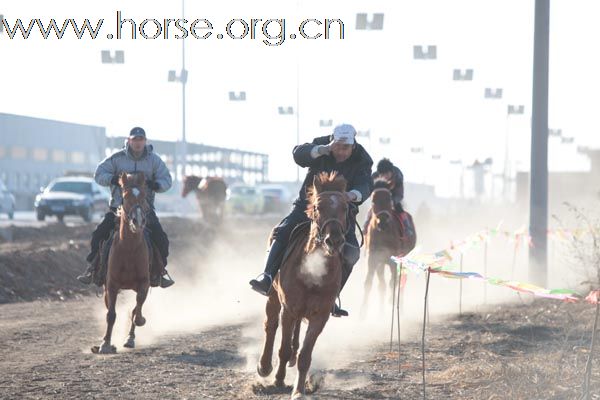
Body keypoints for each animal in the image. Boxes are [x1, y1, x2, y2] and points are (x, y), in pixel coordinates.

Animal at [91, 173, 156, 354]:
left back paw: (130, 338)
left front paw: (134, 329)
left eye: (144, 196)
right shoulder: (111, 285)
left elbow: (136, 311)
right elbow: (111, 314)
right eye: (125, 197)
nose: (138, 221)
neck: (129, 249)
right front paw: (105, 344)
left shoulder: (144, 283)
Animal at [256, 172, 350, 400]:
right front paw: (279, 379)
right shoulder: (288, 309)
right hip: (273, 297)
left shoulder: (320, 316)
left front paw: (299, 391)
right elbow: (282, 348)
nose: (334, 240)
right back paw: (265, 366)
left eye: (345, 207)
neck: (312, 273)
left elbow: (304, 356)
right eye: (317, 207)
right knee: (271, 326)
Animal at [358, 177, 410, 312]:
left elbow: (393, 282)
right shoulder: (373, 257)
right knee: (382, 284)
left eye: (389, 199)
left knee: (398, 281)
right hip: (380, 263)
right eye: (373, 201)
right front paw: (362, 311)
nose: (382, 222)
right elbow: (369, 282)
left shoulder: (394, 259)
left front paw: (391, 302)